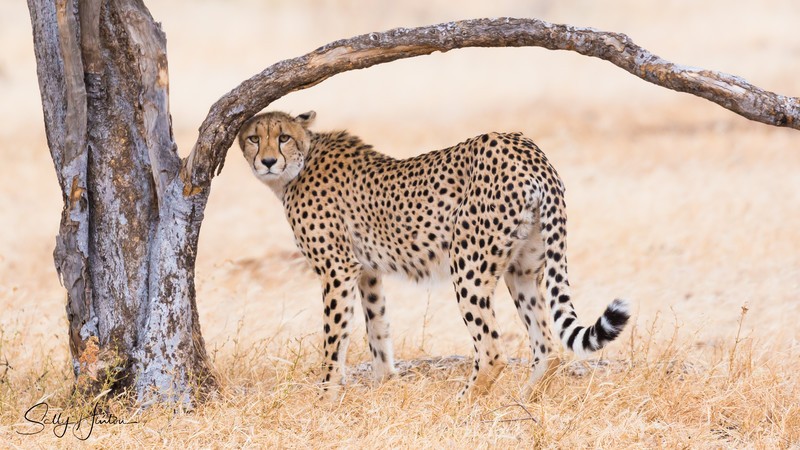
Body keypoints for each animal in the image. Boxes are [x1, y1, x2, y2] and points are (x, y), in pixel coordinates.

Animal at [237, 110, 631, 399]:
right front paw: (386, 385)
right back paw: (523, 400)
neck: (300, 163)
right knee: (547, 344)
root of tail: (523, 146)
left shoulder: (337, 270)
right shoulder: (367, 272)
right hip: (522, 268)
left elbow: (334, 339)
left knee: (492, 351)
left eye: (283, 137)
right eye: (253, 138)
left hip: (468, 266)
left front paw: (326, 398)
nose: (268, 161)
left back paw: (463, 404)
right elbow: (378, 329)